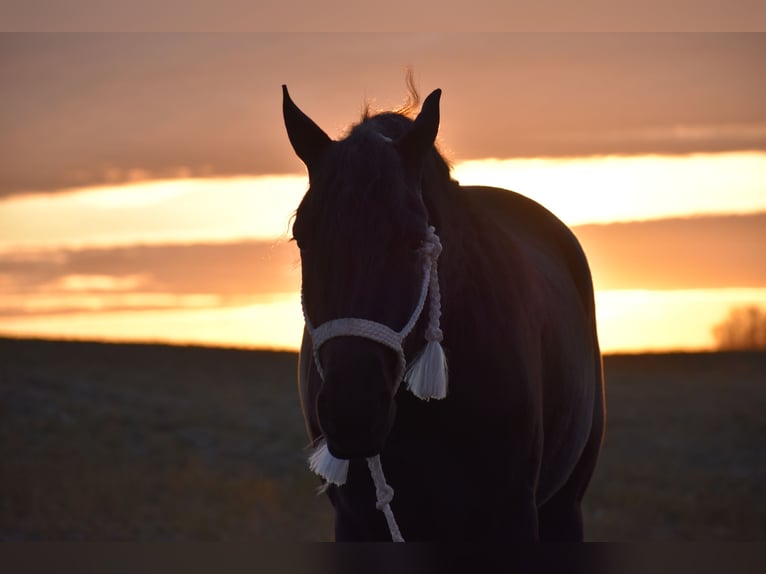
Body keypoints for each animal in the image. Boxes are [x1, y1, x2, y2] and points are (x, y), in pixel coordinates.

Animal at [282, 83, 608, 544]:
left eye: (415, 238)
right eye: (301, 237)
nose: (353, 410)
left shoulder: (514, 514)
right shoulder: (355, 521)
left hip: (565, 506)